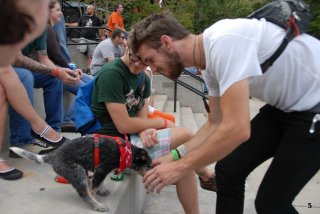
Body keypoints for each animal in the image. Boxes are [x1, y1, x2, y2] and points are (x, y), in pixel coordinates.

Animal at [11, 136, 152, 211]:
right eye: (149, 166)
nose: (153, 171)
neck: (126, 152)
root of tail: (53, 155)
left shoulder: (98, 171)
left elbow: (99, 184)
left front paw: (102, 190)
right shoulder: (102, 169)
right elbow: (93, 189)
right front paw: (96, 197)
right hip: (77, 173)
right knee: (84, 194)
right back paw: (98, 206)